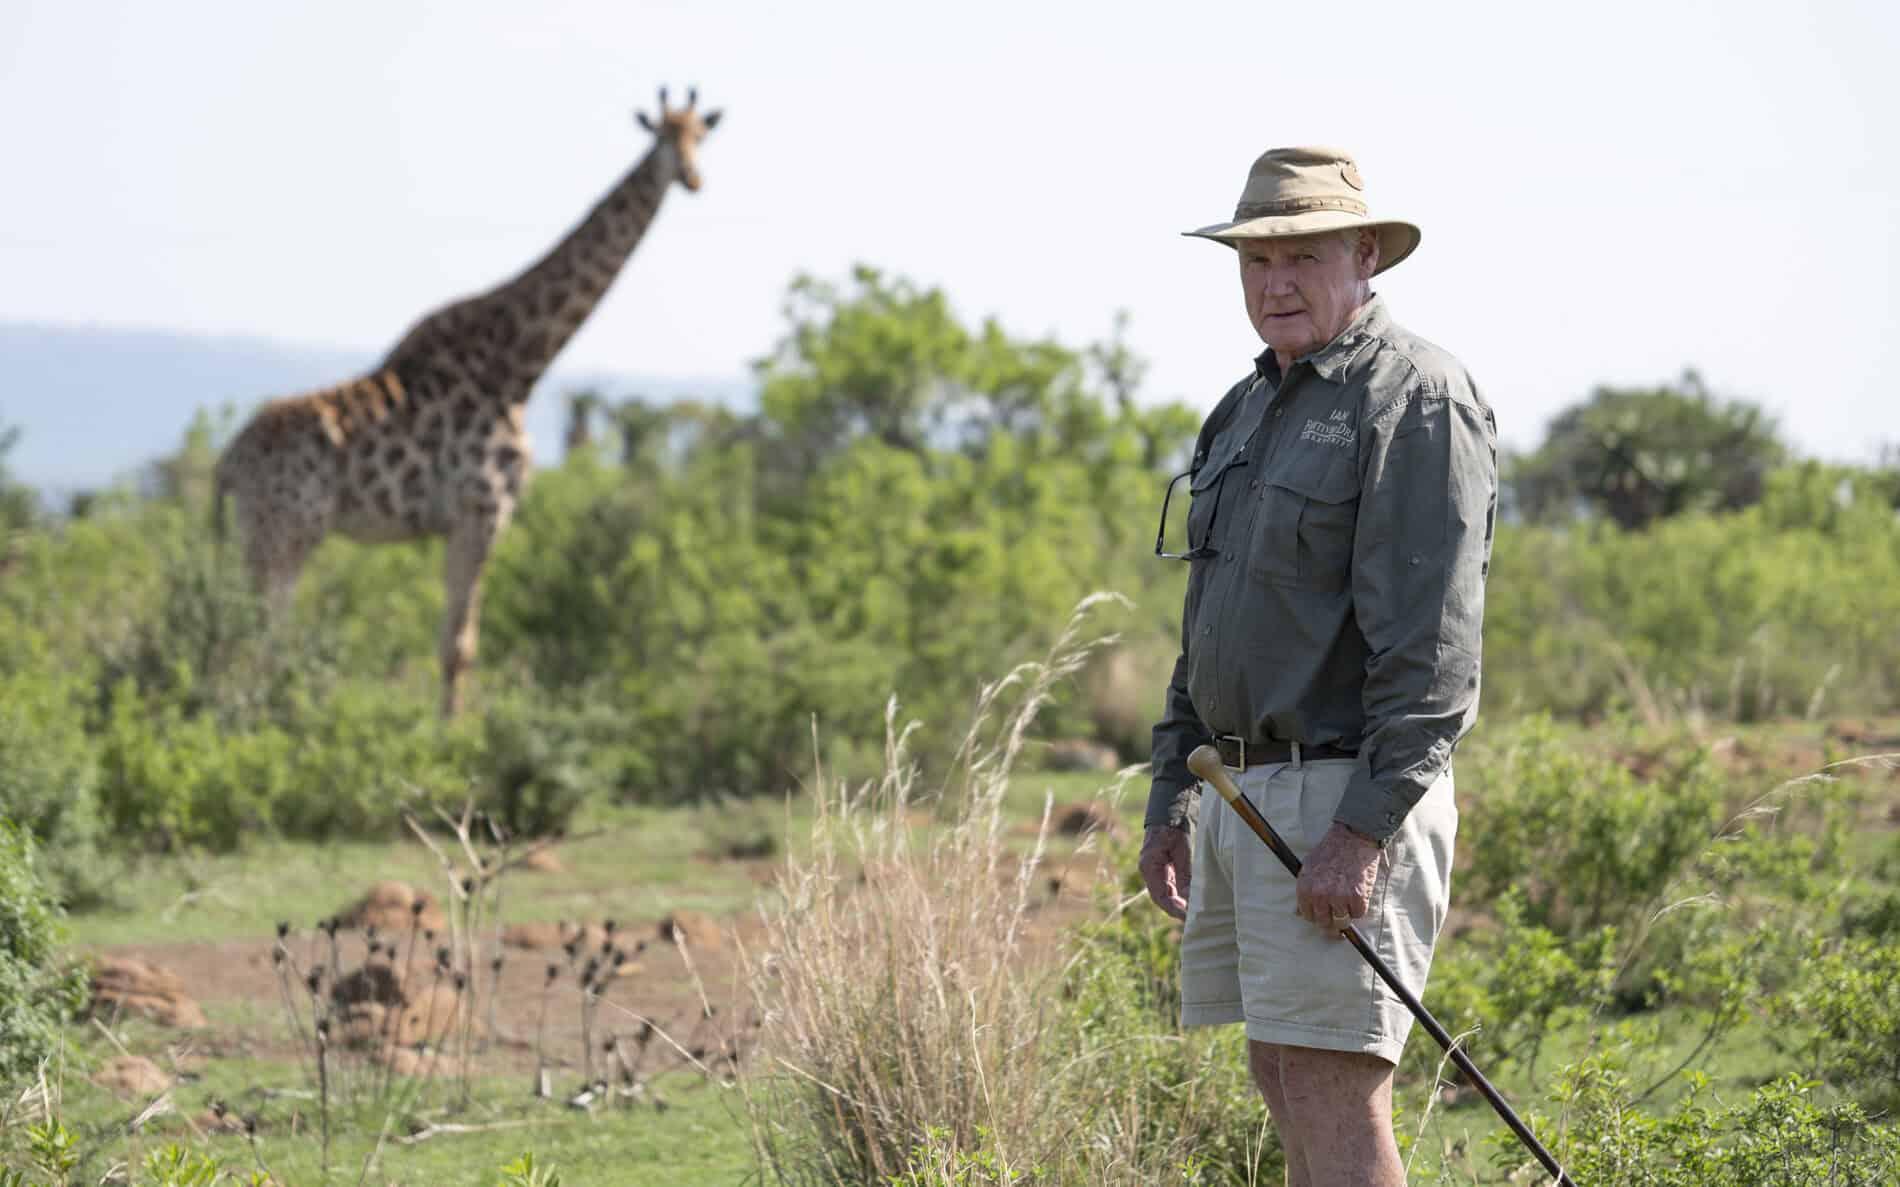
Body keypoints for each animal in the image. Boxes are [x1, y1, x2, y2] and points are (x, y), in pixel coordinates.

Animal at [215, 90, 718, 714]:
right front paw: (453, 734)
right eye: (663, 138)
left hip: (264, 533)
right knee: (258, 635)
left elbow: (454, 643)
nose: (693, 178)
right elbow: (461, 647)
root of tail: (228, 461)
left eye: (701, 134)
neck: (522, 362)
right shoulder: (484, 510)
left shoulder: (465, 519)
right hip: (285, 533)